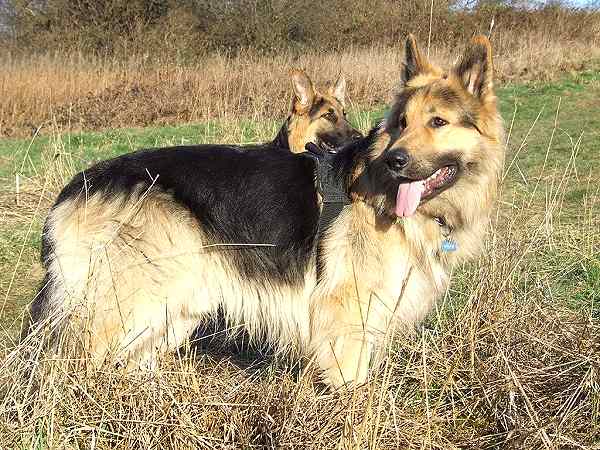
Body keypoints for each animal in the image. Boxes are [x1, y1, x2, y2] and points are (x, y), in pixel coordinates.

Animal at [23, 35, 502, 386]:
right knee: (70, 363)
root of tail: (79, 185)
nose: (394, 161)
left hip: (173, 307)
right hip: (132, 305)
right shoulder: (348, 318)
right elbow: (353, 386)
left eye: (438, 122)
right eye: (401, 123)